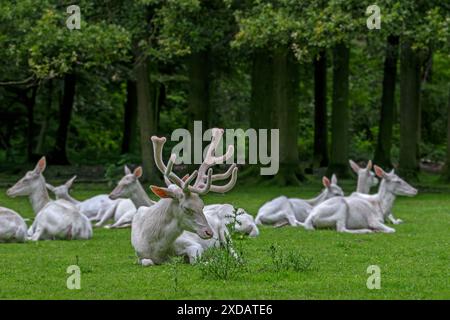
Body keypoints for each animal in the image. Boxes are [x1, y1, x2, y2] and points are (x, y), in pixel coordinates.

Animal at [132, 127, 239, 264]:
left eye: (202, 206)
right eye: (186, 208)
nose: (209, 232)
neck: (155, 247)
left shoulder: (193, 244)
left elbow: (195, 260)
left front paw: (211, 260)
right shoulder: (139, 255)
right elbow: (147, 262)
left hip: (225, 232)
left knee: (233, 251)